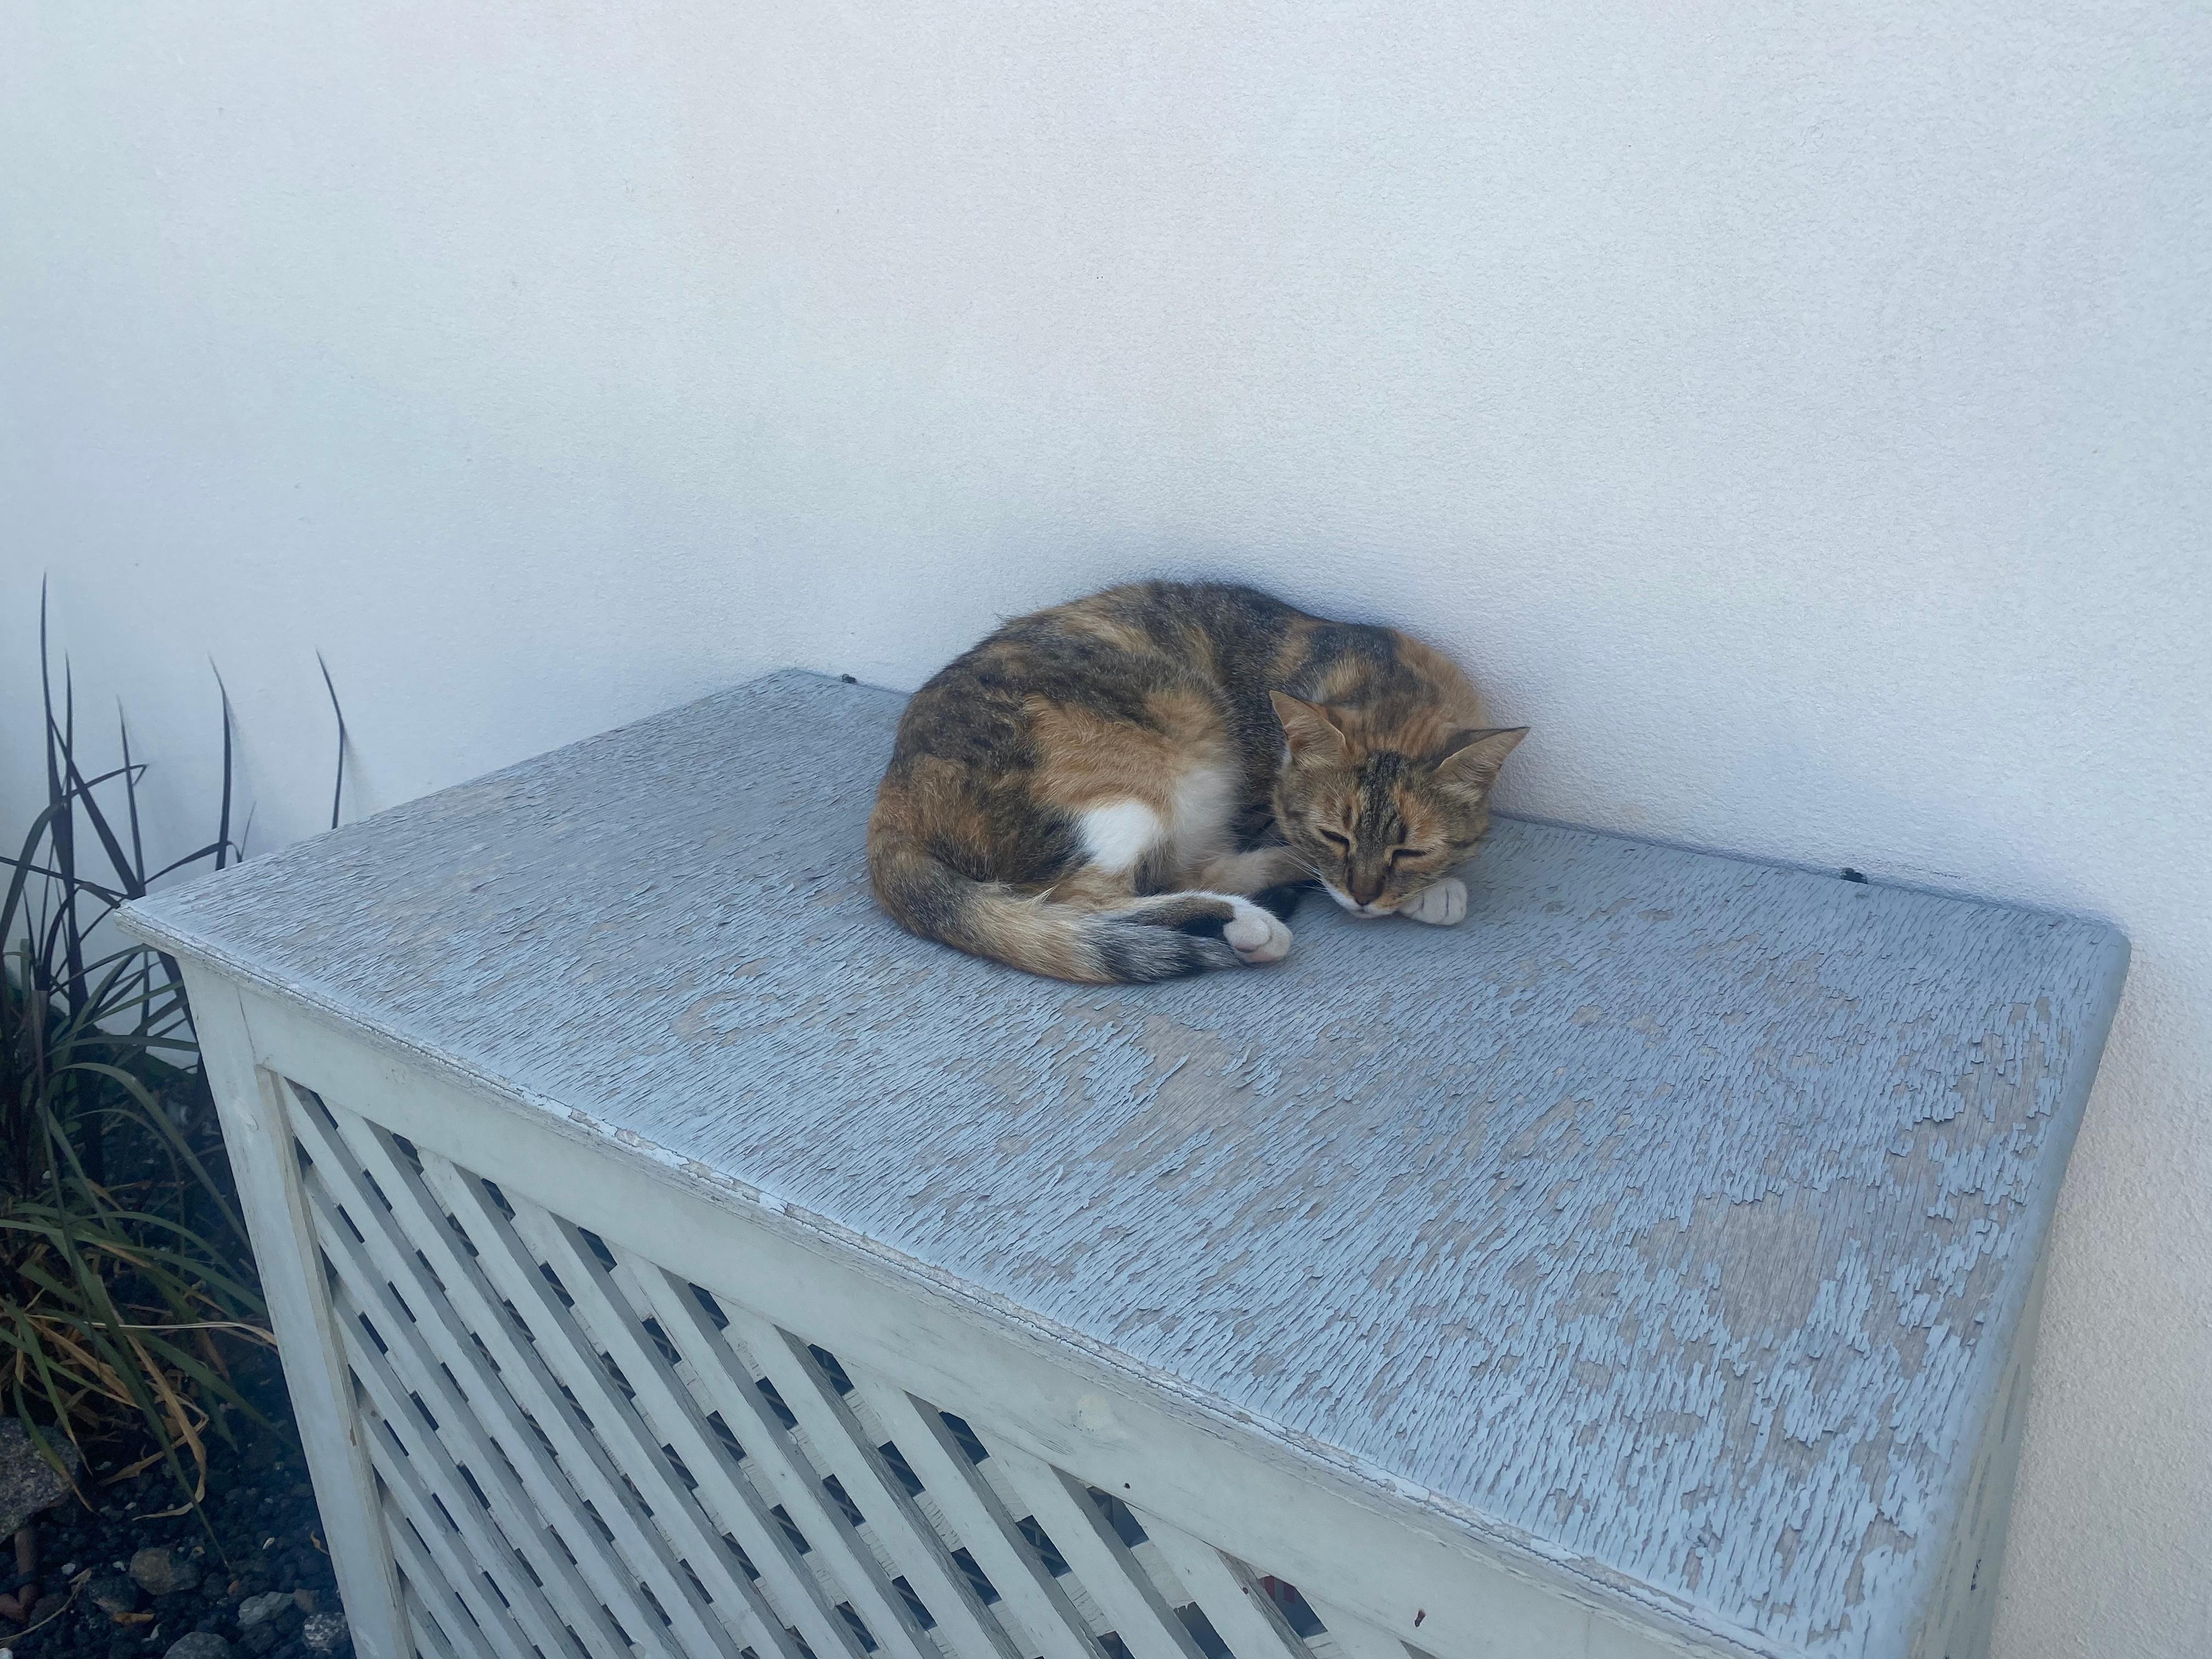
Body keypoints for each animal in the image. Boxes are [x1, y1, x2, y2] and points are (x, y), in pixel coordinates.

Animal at [862, 579, 1522, 986]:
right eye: (1333, 836)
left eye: (1411, 849)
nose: (1363, 897)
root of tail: (892, 799)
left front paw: (1432, 887)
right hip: (1149, 773)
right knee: (1087, 899)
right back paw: (1251, 921)